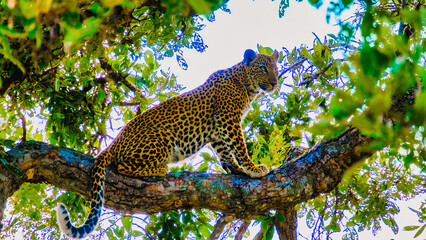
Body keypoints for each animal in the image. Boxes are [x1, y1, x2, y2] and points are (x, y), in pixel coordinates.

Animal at [55, 48, 280, 238]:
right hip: (162, 137)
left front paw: (237, 169)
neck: (246, 85)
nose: (274, 82)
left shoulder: (218, 130)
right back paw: (160, 169)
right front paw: (254, 168)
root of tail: (113, 144)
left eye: (276, 69)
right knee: (123, 166)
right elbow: (239, 147)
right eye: (263, 68)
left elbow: (225, 152)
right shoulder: (229, 119)